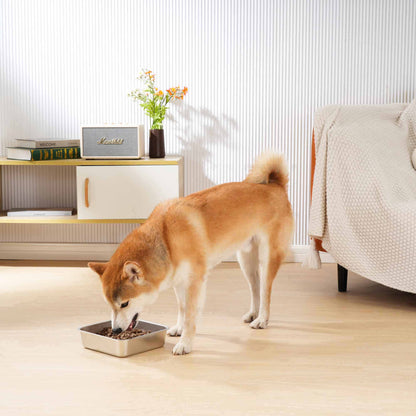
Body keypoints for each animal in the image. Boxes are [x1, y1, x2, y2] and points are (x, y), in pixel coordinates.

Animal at [89, 153, 294, 354]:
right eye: (109, 304)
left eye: (124, 304)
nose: (116, 330)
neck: (167, 241)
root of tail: (276, 186)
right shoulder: (180, 281)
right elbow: (182, 308)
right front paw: (179, 329)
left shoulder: (195, 282)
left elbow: (190, 315)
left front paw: (185, 344)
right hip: (245, 260)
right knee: (255, 288)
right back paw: (253, 314)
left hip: (267, 258)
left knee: (265, 291)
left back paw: (262, 319)